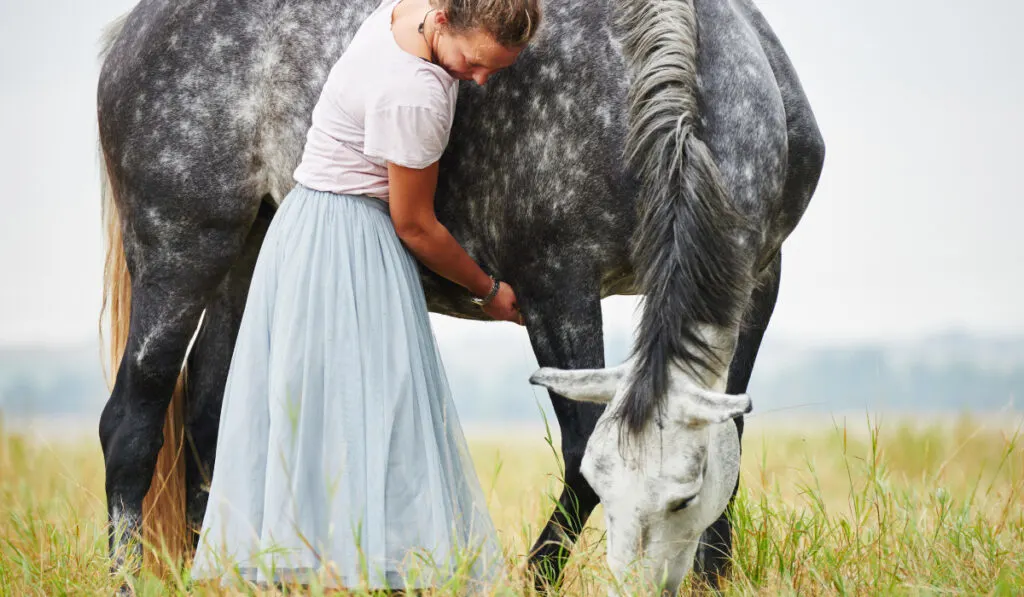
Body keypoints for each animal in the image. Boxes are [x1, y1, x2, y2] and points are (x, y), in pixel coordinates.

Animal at [96, 0, 823, 589]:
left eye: (683, 497)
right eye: (608, 481)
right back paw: (128, 576)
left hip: (244, 253)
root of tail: (135, 32)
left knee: (207, 415)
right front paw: (537, 577)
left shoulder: (758, 280)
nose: (639, 589)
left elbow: (732, 435)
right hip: (182, 251)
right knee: (132, 419)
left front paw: (715, 576)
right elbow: (578, 447)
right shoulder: (555, 285)